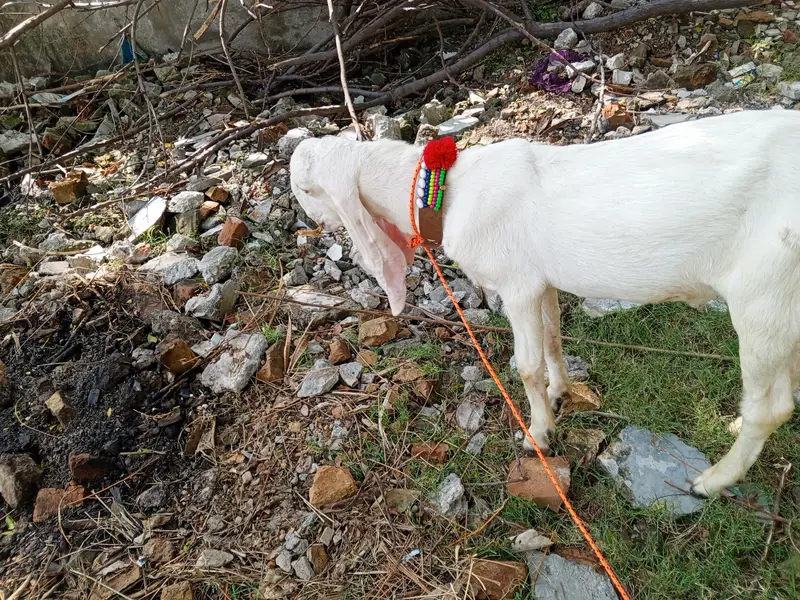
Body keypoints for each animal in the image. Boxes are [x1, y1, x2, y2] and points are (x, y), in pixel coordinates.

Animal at [289, 109, 800, 497]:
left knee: (772, 407)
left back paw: (713, 480)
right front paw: (560, 392)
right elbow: (554, 335)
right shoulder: (542, 282)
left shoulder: (516, 285)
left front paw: (538, 432)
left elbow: (527, 364)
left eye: (306, 188)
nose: (313, 226)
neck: (451, 193)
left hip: (763, 297)